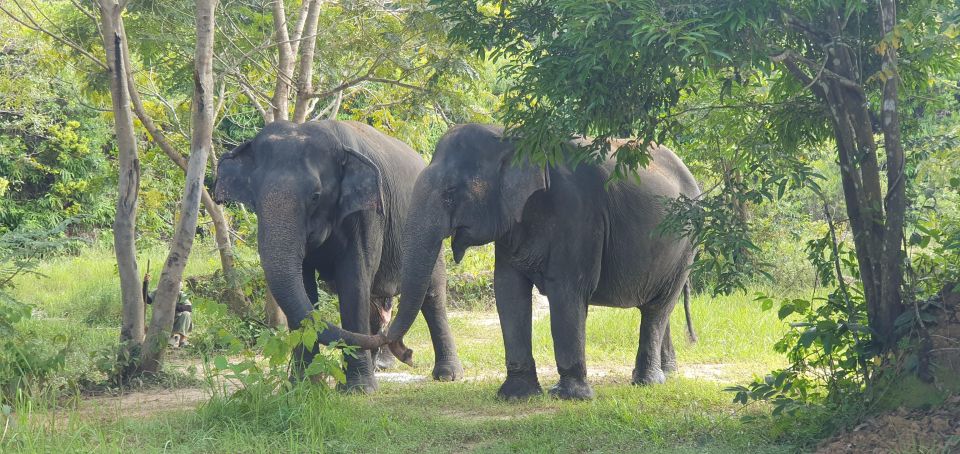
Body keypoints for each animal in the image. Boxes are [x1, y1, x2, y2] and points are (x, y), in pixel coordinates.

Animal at [211, 120, 464, 394]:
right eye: (254, 197)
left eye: (315, 196)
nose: (408, 354)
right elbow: (305, 289)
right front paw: (304, 387)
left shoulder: (366, 215)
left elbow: (354, 281)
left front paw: (359, 390)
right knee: (377, 302)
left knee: (432, 294)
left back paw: (447, 375)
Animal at [338, 122, 696, 400]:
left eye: (451, 193)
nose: (410, 355)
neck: (513, 138)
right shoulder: (512, 222)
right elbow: (508, 291)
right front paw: (516, 395)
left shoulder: (578, 214)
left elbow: (566, 291)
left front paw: (569, 397)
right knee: (654, 309)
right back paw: (662, 374)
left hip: (686, 244)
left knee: (657, 308)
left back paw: (647, 383)